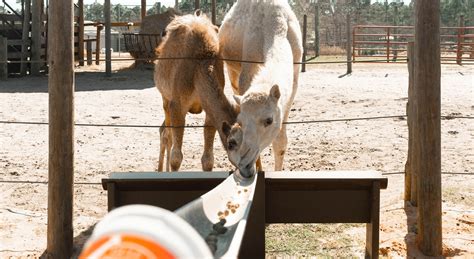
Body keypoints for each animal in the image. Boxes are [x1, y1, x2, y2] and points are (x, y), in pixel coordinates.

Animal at [155, 10, 239, 173]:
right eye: (233, 144)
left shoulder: (208, 109)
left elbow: (208, 160)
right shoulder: (177, 104)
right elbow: (176, 158)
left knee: (164, 131)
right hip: (165, 97)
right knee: (166, 134)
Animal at [218, 0, 302, 178]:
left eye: (269, 120)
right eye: (240, 121)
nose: (244, 160)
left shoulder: (294, 79)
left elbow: (280, 141)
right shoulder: (246, 71)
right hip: (231, 70)